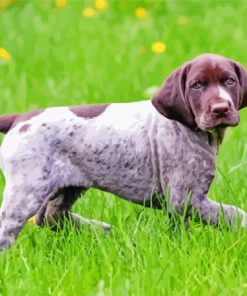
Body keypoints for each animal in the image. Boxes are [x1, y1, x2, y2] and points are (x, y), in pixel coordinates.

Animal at [0, 53, 247, 252]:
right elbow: (234, 214)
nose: (221, 109)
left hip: (67, 185)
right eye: (197, 85)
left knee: (49, 216)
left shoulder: (180, 204)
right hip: (26, 191)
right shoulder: (185, 198)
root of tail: (19, 118)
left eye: (230, 81)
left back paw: (99, 229)